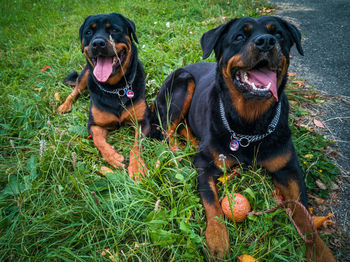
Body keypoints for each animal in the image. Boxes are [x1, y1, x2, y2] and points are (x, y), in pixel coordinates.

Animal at [57, 12, 150, 180]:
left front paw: (137, 167)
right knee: (74, 91)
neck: (116, 88)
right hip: (85, 74)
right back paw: (64, 105)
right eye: (88, 32)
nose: (98, 43)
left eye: (114, 30)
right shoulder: (94, 124)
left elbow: (136, 145)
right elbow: (98, 140)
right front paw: (113, 157)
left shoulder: (142, 121)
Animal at [153, 16, 336, 262]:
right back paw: (176, 153)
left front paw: (318, 249)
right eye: (239, 36)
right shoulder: (204, 164)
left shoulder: (288, 168)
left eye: (278, 35)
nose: (266, 41)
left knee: (182, 127)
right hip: (183, 82)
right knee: (168, 129)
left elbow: (303, 212)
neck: (249, 124)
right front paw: (217, 237)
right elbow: (212, 202)